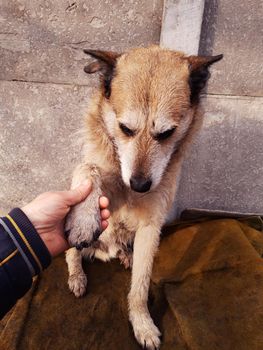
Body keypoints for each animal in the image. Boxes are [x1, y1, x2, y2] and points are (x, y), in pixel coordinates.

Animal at [65, 45, 223, 348]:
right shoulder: (107, 188)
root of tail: (105, 250)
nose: (139, 185)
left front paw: (142, 324)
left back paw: (125, 255)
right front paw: (85, 217)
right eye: (125, 128)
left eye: (167, 133)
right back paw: (77, 275)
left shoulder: (152, 225)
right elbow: (87, 168)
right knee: (71, 253)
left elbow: (140, 285)